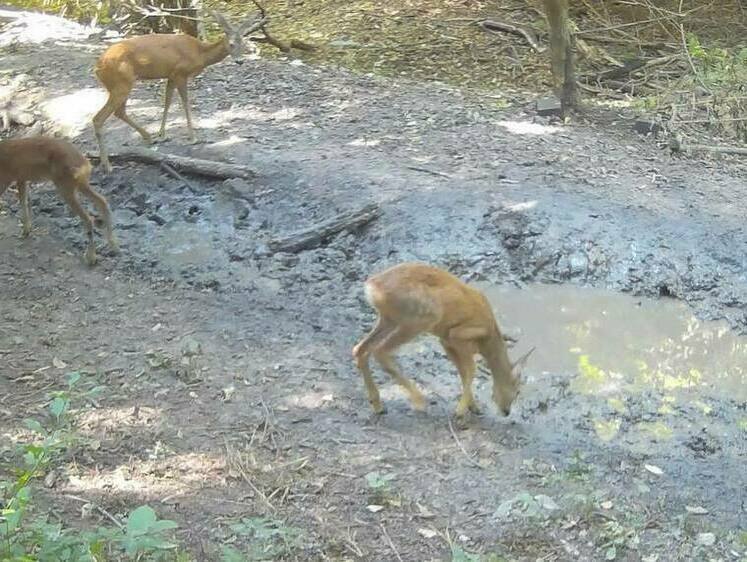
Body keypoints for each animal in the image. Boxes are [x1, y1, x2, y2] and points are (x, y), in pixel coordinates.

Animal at [0, 137, 118, 266]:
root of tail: (85, 164)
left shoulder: (7, 178)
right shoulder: (21, 178)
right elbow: (24, 202)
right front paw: (26, 231)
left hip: (65, 186)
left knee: (88, 218)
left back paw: (91, 257)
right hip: (80, 184)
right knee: (102, 201)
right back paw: (113, 245)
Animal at [93, 9, 268, 173]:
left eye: (243, 44)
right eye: (231, 44)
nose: (239, 61)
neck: (200, 53)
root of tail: (98, 66)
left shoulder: (171, 75)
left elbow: (167, 102)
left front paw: (162, 134)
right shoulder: (181, 73)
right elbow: (185, 102)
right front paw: (193, 137)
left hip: (121, 84)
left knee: (119, 112)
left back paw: (148, 137)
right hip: (121, 82)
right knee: (99, 118)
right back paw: (107, 165)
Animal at [354, 262, 536, 416]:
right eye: (517, 390)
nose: (506, 412)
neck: (488, 339)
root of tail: (371, 287)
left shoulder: (446, 341)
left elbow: (462, 371)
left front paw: (473, 407)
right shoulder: (458, 335)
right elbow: (471, 370)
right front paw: (461, 411)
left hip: (389, 319)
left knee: (360, 348)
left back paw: (377, 404)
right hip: (419, 318)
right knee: (380, 351)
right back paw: (420, 401)